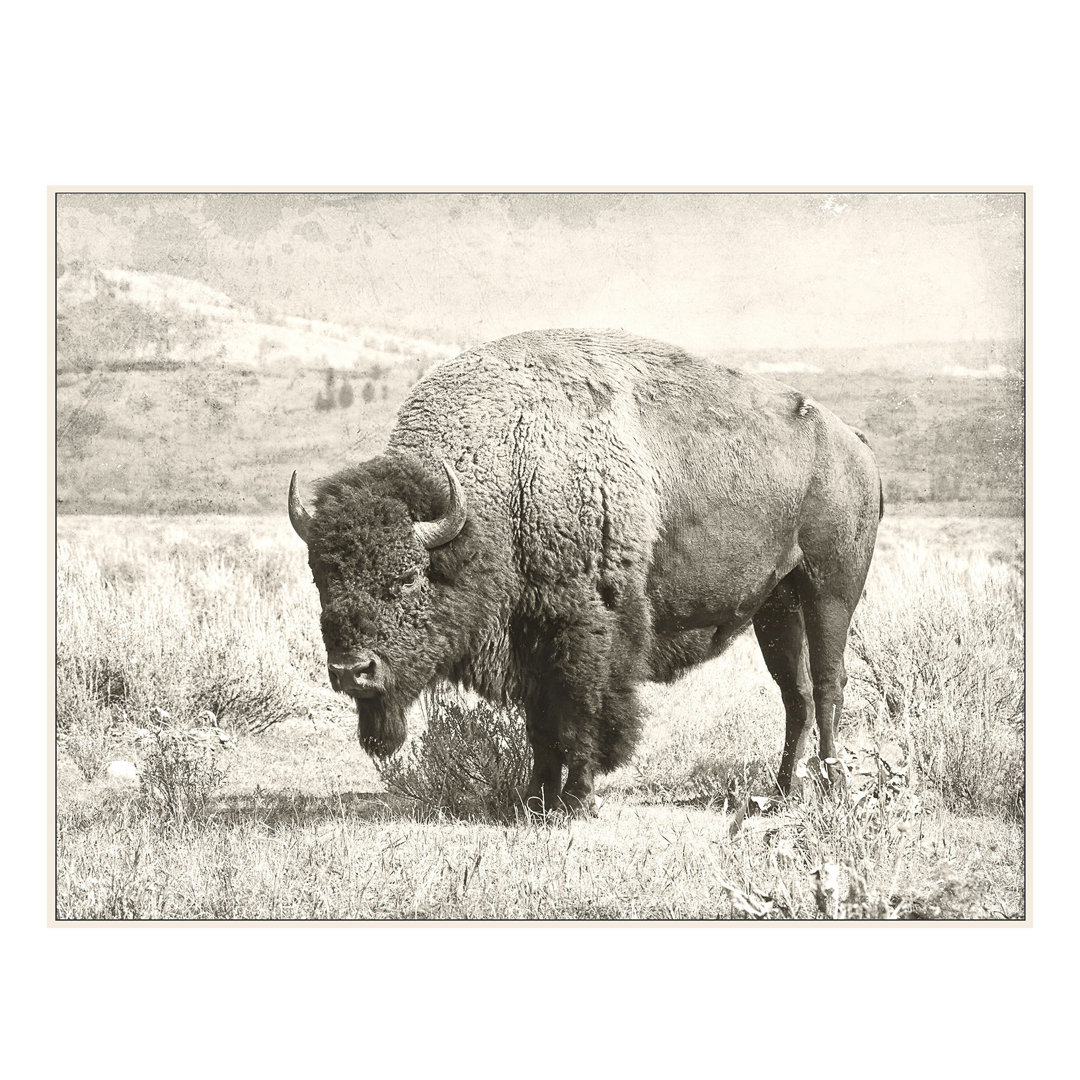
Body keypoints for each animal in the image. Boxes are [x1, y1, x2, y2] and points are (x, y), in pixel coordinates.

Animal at [289, 329, 882, 813]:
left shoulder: (584, 632)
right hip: (775, 605)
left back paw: (834, 789)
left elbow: (581, 718)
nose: (351, 671)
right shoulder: (529, 641)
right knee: (795, 694)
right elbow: (541, 728)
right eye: (320, 577)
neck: (507, 476)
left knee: (827, 684)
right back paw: (780, 793)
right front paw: (534, 799)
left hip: (830, 591)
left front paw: (576, 800)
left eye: (409, 577)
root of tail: (854, 443)